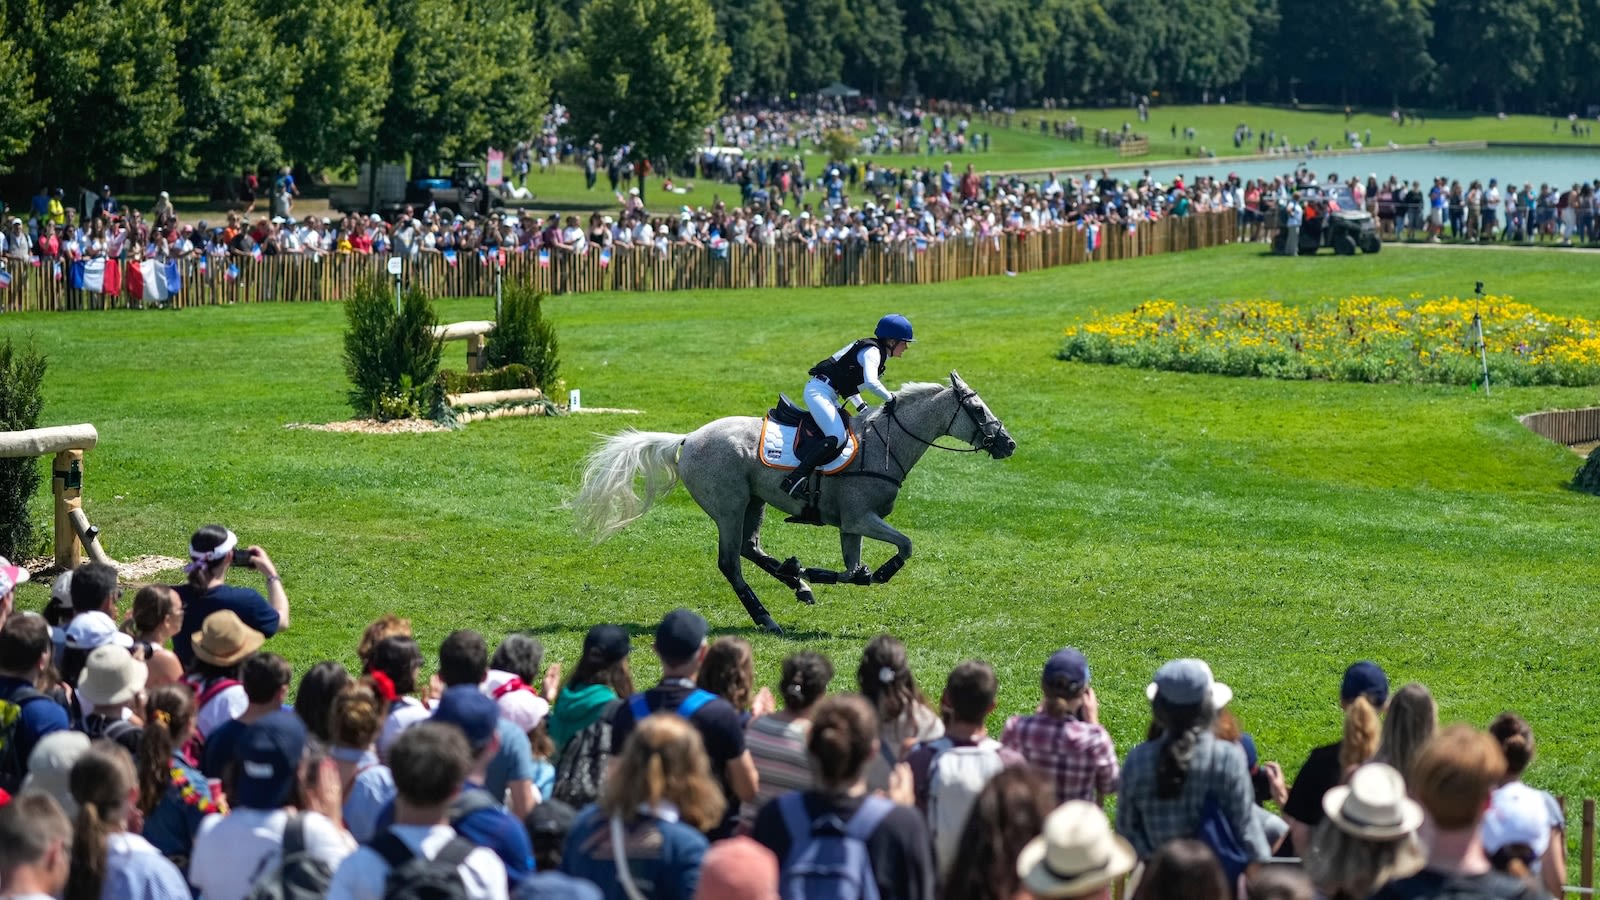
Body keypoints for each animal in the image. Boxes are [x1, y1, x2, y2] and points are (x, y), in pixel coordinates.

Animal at [572, 369, 1011, 630]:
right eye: (976, 409)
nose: (1008, 444)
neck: (885, 444)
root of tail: (688, 438)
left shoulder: (850, 526)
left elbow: (855, 571)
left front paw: (810, 573)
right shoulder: (860, 519)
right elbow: (903, 546)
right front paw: (870, 572)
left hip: (754, 503)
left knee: (749, 549)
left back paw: (795, 580)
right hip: (729, 506)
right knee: (730, 562)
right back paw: (767, 616)